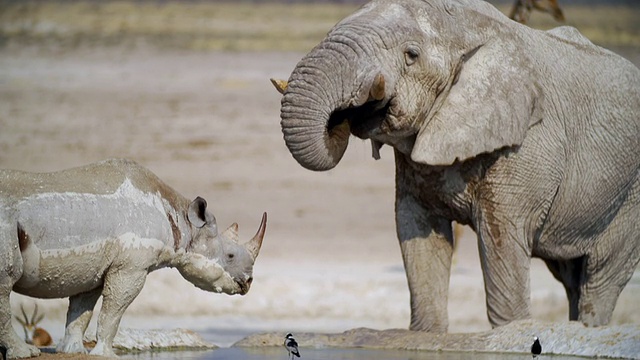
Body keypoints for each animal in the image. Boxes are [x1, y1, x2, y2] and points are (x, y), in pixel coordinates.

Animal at [272, 0, 640, 332]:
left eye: (411, 54)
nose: (347, 113)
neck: (468, 25)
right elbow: (418, 233)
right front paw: (426, 335)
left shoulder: (526, 147)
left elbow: (501, 241)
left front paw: (512, 332)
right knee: (570, 277)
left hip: (630, 197)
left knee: (600, 277)